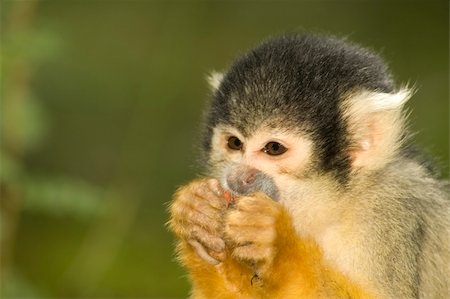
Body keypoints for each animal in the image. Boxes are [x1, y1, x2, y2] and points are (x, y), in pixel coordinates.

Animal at [169, 34, 450, 298]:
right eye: (234, 143)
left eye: (273, 148)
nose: (238, 178)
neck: (336, 207)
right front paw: (197, 214)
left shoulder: (389, 211)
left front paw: (279, 243)